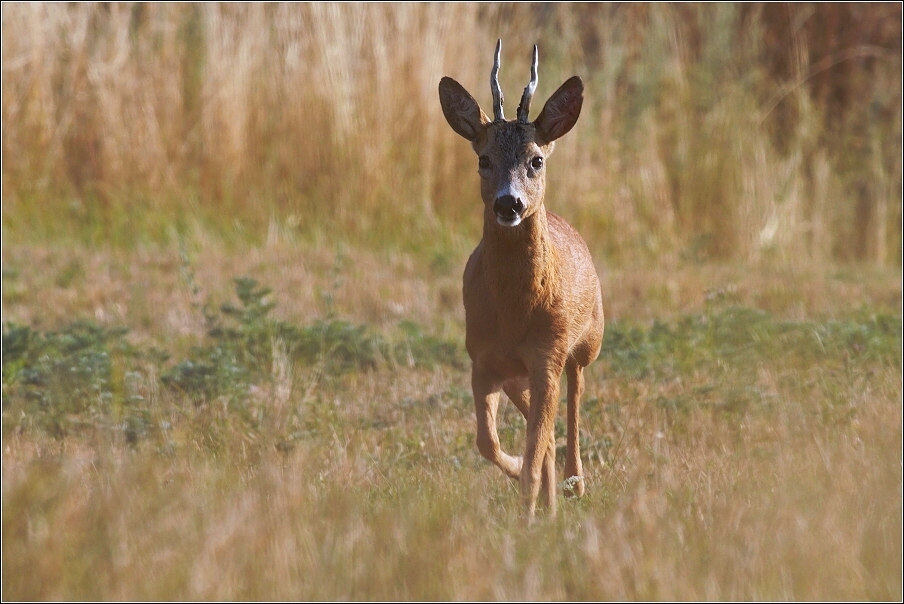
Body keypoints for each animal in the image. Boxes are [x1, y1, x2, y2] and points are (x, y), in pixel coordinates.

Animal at [440, 40, 604, 520]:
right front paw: (519, 477)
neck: (514, 313)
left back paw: (574, 483)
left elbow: (536, 446)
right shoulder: (481, 357)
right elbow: (487, 442)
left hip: (588, 341)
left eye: (536, 159)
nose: (508, 203)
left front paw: (529, 514)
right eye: (483, 159)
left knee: (574, 396)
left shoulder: (547, 354)